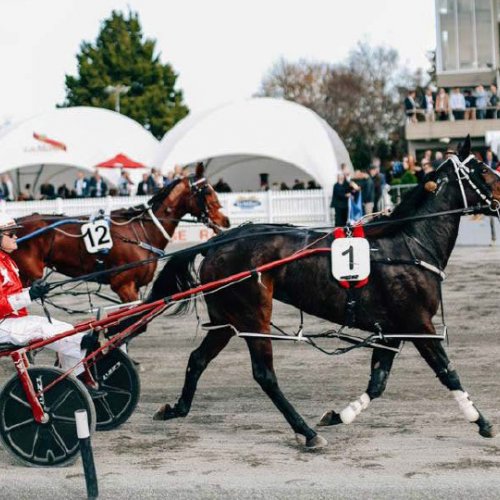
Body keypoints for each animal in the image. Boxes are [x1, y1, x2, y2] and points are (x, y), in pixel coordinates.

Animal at [12, 166, 229, 302]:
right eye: (206, 191)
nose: (224, 220)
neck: (143, 230)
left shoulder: (135, 286)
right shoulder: (123, 284)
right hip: (28, 276)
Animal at [146, 138, 500, 450]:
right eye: (483, 168)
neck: (408, 244)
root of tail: (217, 241)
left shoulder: (393, 329)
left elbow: (378, 382)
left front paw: (338, 415)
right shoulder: (418, 324)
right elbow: (448, 373)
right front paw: (481, 421)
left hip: (225, 319)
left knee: (197, 359)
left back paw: (176, 408)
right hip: (253, 316)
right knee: (264, 375)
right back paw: (306, 433)